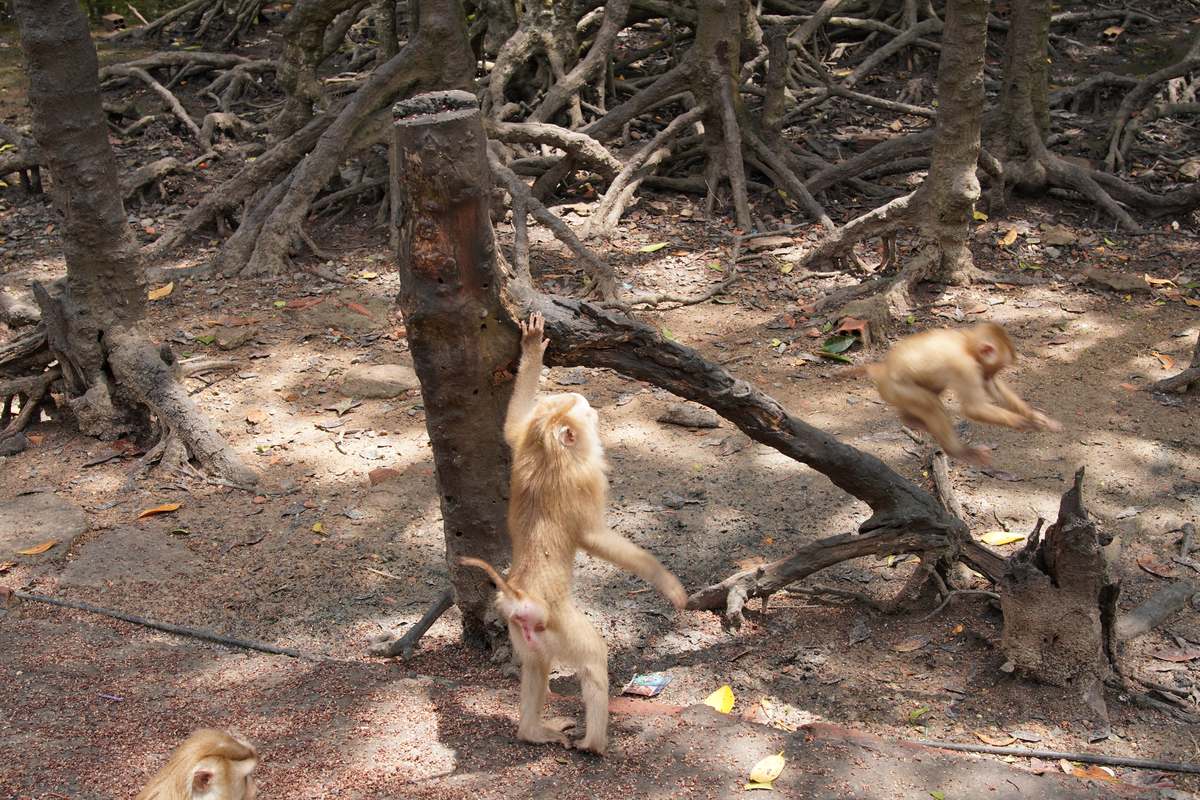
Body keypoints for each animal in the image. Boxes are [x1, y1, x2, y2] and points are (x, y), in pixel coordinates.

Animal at [465, 312, 686, 757]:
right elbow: (594, 537)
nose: (589, 403)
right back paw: (594, 743)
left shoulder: (526, 438)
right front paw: (667, 583)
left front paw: (532, 347)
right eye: (582, 411)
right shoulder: (585, 475)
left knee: (535, 665)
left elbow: (509, 427)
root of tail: (521, 595)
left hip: (524, 630)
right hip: (558, 625)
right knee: (592, 657)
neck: (548, 447)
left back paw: (532, 731)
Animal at [861, 321, 1061, 466]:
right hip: (897, 388)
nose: (990, 375)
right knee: (931, 404)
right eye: (997, 368)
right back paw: (957, 451)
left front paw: (1035, 416)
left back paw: (910, 419)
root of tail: (883, 370)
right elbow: (974, 408)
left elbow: (992, 389)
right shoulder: (965, 367)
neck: (966, 344)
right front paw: (1024, 422)